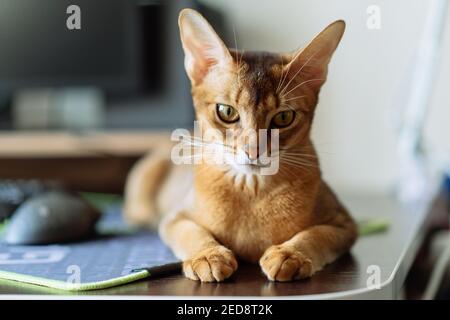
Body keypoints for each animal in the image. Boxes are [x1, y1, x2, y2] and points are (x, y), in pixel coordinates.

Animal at [124, 8, 358, 282]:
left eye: (283, 117)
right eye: (226, 111)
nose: (254, 150)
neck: (251, 190)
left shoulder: (345, 223)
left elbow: (317, 235)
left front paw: (290, 255)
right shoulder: (174, 218)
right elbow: (191, 233)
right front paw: (208, 256)